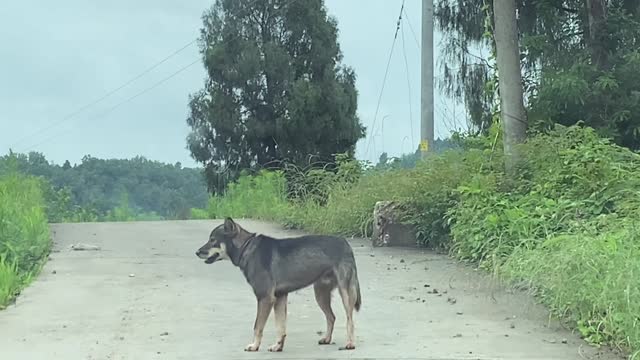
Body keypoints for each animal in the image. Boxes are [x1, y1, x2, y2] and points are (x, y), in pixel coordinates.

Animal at [192, 217, 362, 352]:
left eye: (213, 240)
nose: (197, 252)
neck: (247, 247)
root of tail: (346, 243)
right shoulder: (280, 297)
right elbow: (280, 327)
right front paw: (278, 346)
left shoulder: (265, 298)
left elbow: (257, 326)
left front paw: (254, 346)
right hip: (320, 294)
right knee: (331, 317)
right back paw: (327, 339)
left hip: (345, 293)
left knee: (350, 321)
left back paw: (350, 343)